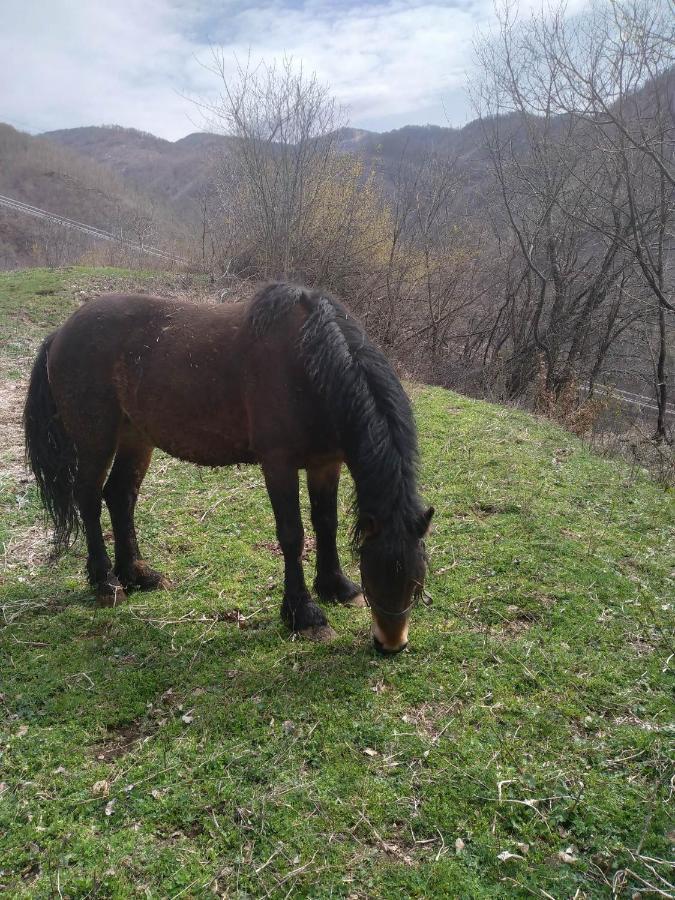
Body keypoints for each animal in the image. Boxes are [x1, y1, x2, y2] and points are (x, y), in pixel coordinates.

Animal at [23, 284, 436, 652]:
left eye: (416, 579)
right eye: (376, 573)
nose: (391, 644)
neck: (308, 365)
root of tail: (61, 332)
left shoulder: (326, 463)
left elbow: (326, 523)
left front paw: (336, 586)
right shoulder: (278, 464)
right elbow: (293, 535)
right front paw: (304, 614)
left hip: (135, 437)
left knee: (120, 496)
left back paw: (138, 574)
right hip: (96, 440)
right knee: (89, 499)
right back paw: (107, 583)